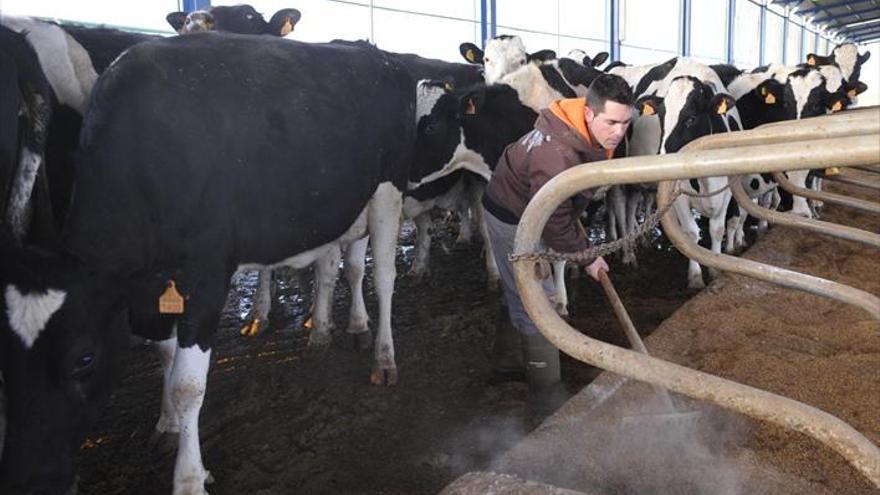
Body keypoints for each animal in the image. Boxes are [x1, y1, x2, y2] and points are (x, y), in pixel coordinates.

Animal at [0, 33, 428, 495]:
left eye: (84, 359)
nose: (28, 482)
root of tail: (375, 53)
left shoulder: (204, 279)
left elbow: (188, 385)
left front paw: (189, 478)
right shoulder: (149, 290)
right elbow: (165, 357)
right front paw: (168, 425)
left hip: (387, 190)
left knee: (382, 276)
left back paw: (383, 358)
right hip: (336, 204)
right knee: (339, 266)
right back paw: (334, 330)